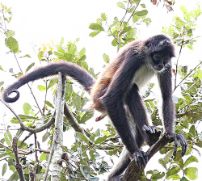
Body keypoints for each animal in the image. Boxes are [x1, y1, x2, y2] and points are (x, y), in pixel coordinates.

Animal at [2, 34, 187, 179]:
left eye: (165, 59)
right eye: (157, 56)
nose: (161, 65)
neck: (146, 58)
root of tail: (95, 89)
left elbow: (166, 97)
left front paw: (171, 135)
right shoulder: (133, 58)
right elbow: (112, 98)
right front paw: (135, 152)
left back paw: (148, 138)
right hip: (100, 99)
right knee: (129, 90)